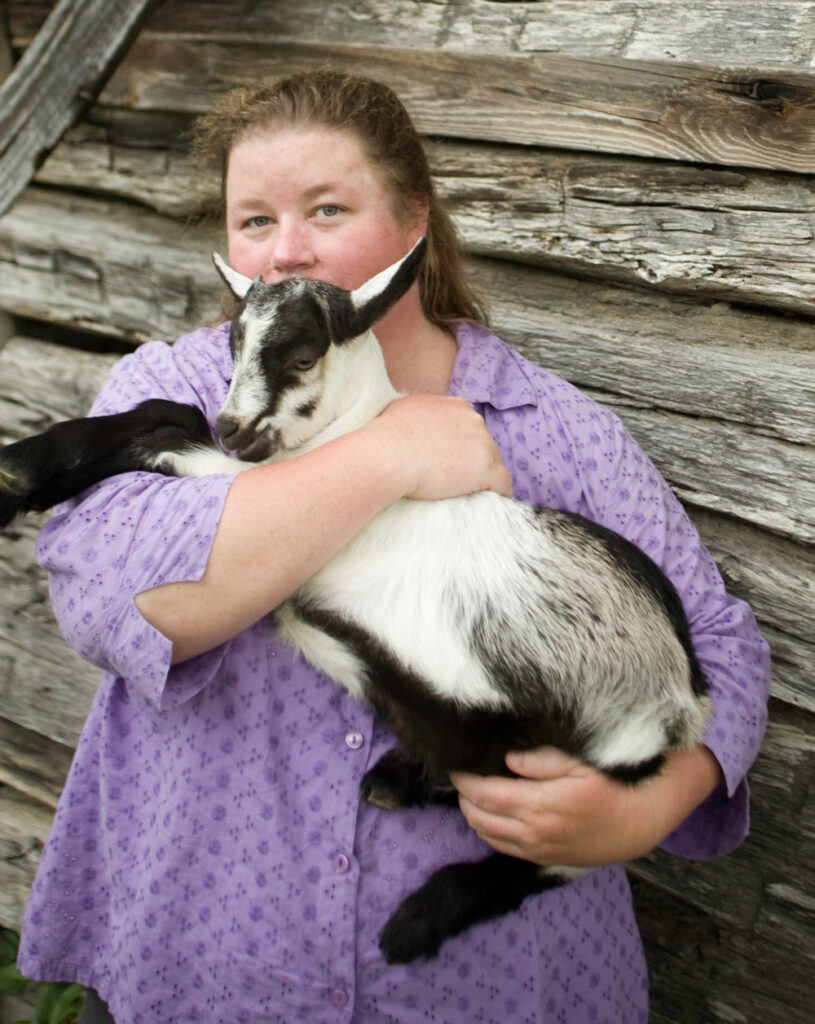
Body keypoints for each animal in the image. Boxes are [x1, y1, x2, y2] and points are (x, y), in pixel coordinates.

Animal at [0, 239, 712, 958]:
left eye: (302, 356)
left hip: (584, 765)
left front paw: (19, 472)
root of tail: (685, 703)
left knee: (558, 855)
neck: (344, 438)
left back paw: (419, 916)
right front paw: (22, 472)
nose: (237, 428)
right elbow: (167, 412)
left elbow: (169, 439)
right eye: (233, 343)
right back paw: (399, 782)